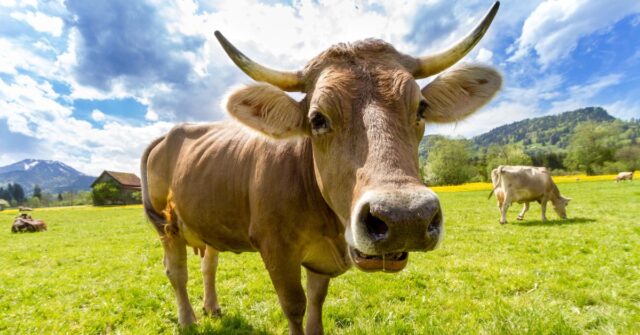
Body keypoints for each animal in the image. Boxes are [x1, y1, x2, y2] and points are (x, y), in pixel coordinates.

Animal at [142, 2, 502, 334]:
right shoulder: (276, 249)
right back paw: (187, 320)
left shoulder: (319, 260)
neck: (328, 225)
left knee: (209, 264)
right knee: (176, 272)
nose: (405, 218)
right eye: (317, 119)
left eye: (421, 109)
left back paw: (212, 307)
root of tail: (172, 132)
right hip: (167, 224)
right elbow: (294, 306)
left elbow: (316, 301)